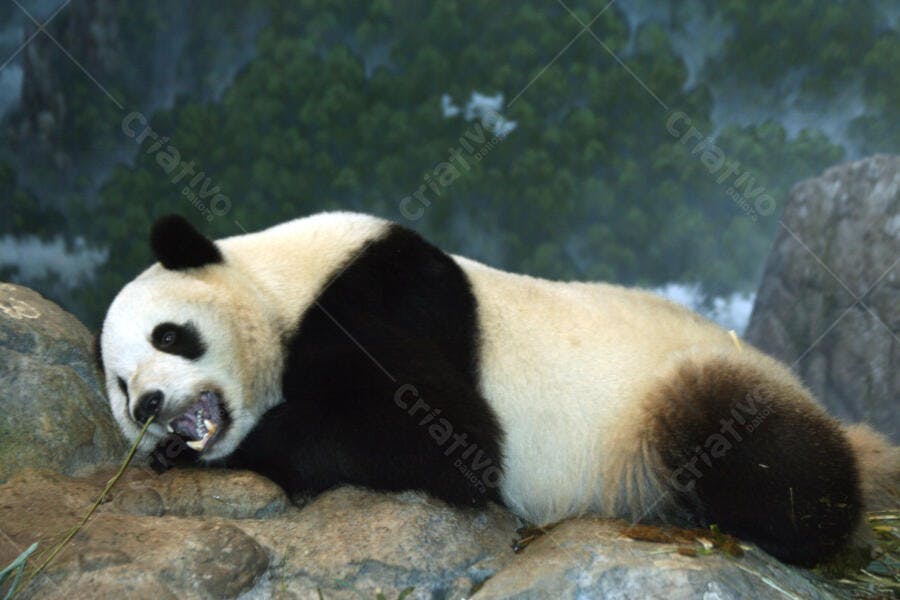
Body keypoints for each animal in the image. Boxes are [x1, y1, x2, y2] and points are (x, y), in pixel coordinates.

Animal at [96, 212, 898, 567]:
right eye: (119, 385)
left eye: (169, 337)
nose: (149, 407)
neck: (280, 285)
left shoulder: (380, 298)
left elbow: (446, 438)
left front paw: (258, 447)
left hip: (689, 386)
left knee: (767, 458)